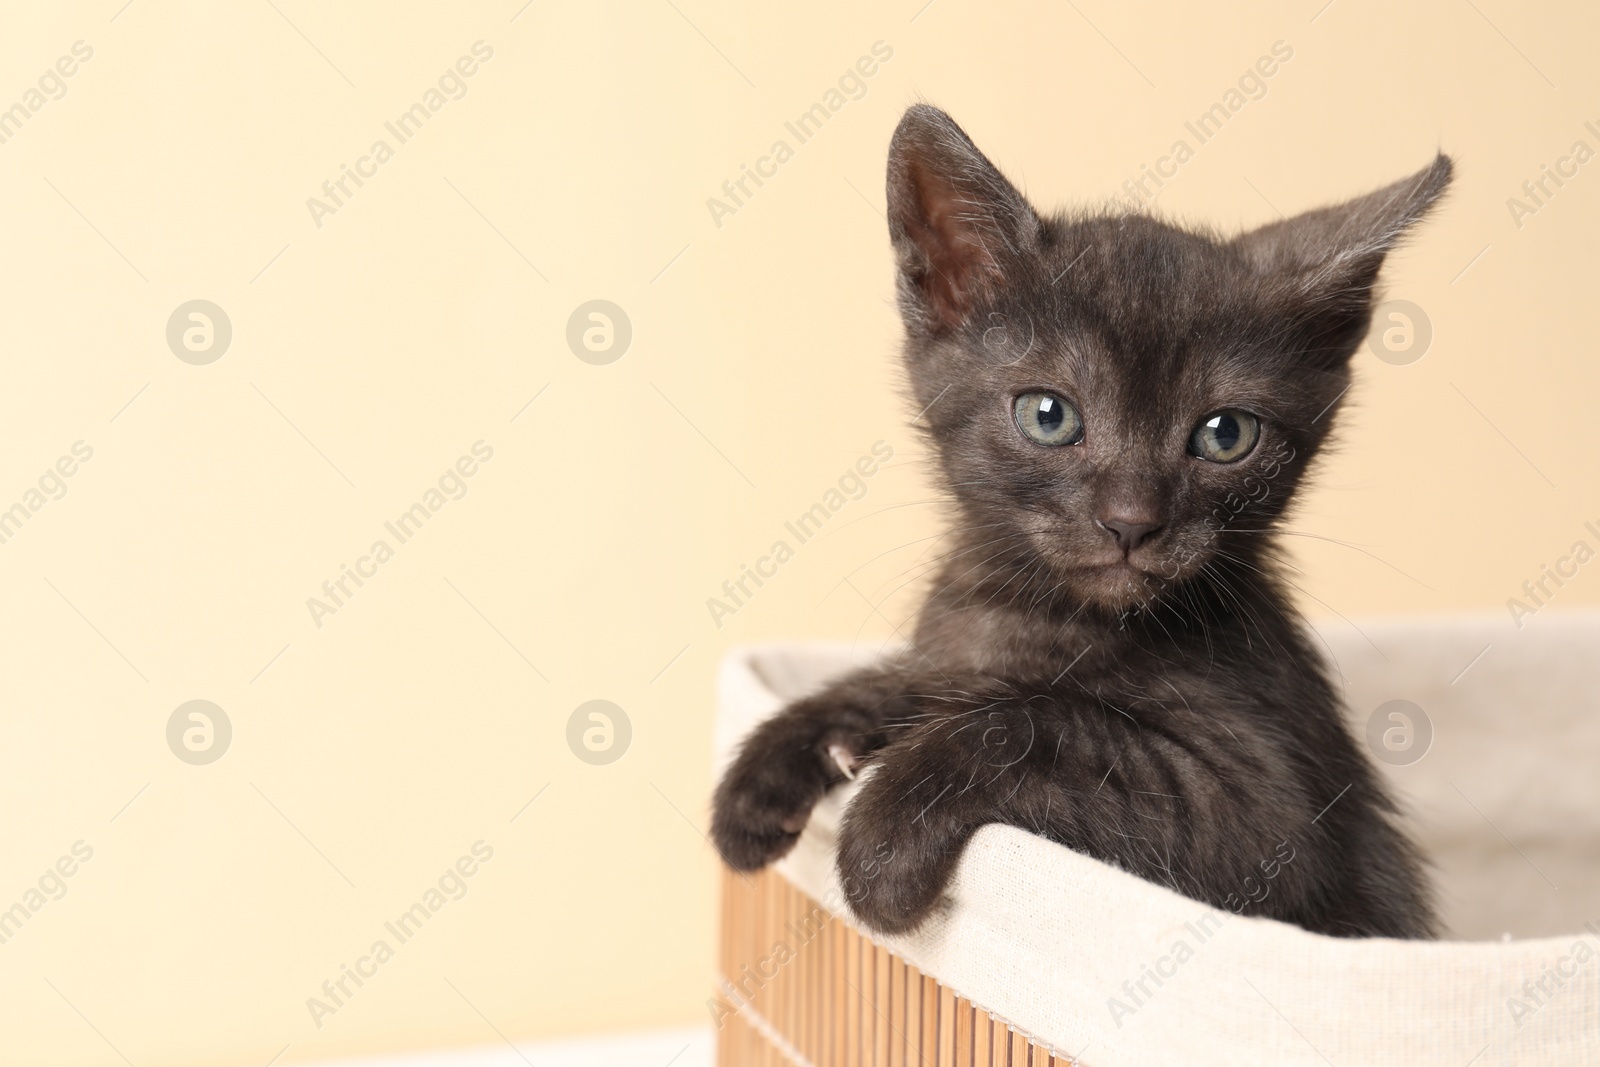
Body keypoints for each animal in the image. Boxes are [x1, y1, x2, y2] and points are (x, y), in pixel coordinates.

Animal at [713, 103, 1452, 940]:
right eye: (1049, 415)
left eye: (1226, 434)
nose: (1131, 521)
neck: (1042, 616)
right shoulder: (955, 652)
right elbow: (922, 679)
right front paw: (779, 757)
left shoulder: (1269, 821)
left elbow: (1040, 719)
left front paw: (883, 837)